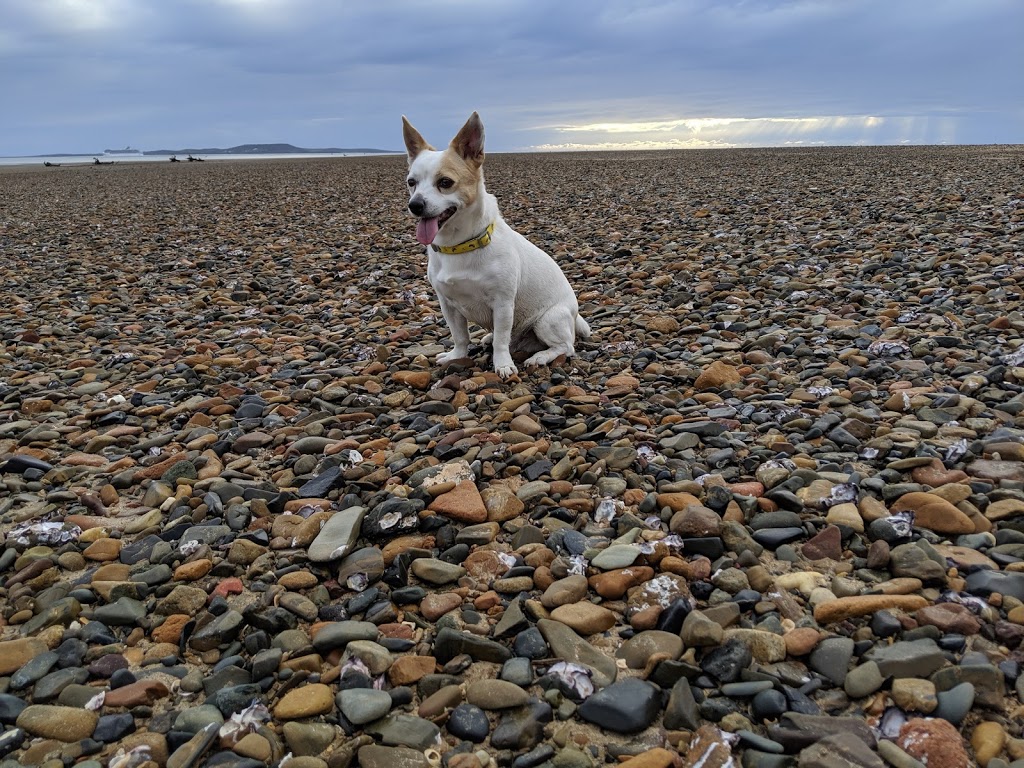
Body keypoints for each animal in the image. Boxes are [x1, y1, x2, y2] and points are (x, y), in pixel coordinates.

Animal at [401, 109, 593, 380]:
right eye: (411, 182)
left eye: (445, 182)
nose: (415, 205)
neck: (459, 245)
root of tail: (575, 317)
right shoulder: (448, 305)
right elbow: (460, 336)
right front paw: (456, 356)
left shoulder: (502, 304)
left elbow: (502, 340)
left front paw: (502, 364)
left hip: (547, 321)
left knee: (565, 346)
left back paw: (540, 357)